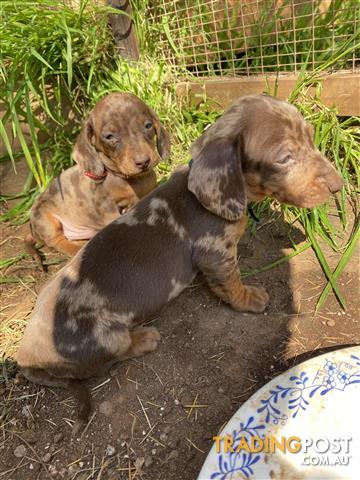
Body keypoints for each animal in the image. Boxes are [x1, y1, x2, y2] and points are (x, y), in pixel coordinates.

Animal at [26, 92, 170, 268]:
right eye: (109, 136)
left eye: (148, 125)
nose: (143, 162)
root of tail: (32, 229)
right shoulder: (108, 210)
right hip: (46, 221)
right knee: (57, 241)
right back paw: (77, 249)